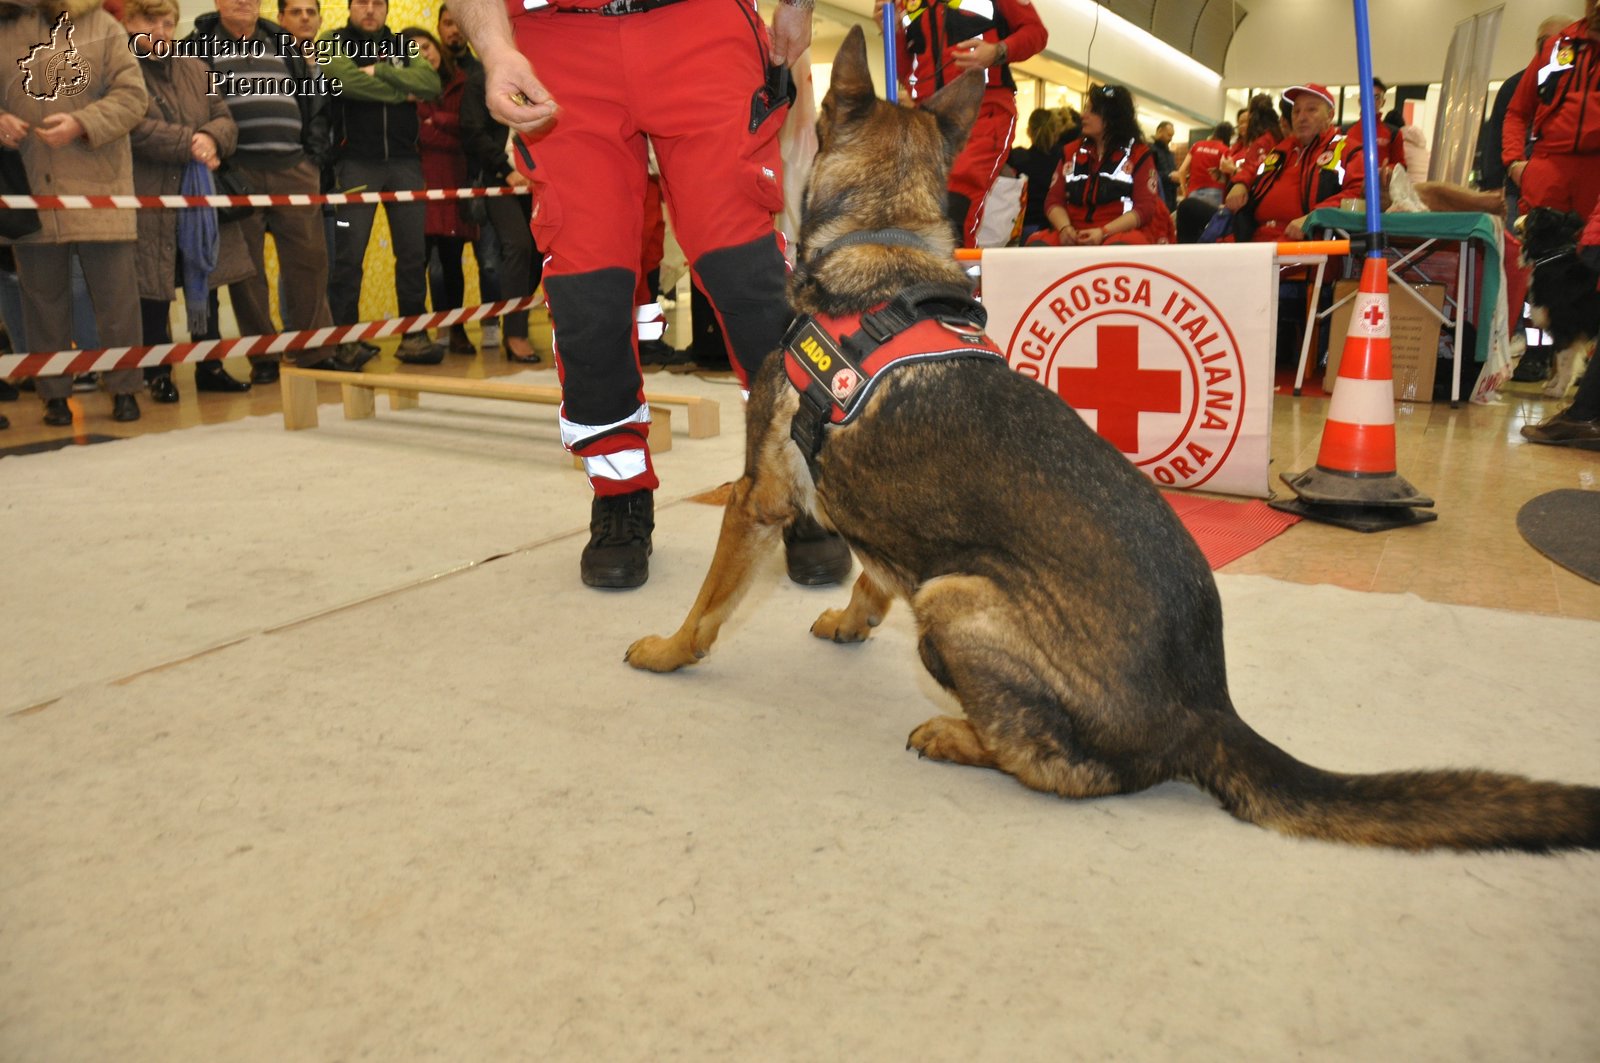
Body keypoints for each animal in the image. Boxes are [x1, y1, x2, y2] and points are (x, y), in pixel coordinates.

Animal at [1516, 204, 1593, 397]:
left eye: (1532, 214)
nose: (1521, 213)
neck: (1553, 255)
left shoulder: (1565, 327)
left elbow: (1564, 362)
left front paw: (1558, 390)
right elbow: (1559, 360)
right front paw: (1553, 384)